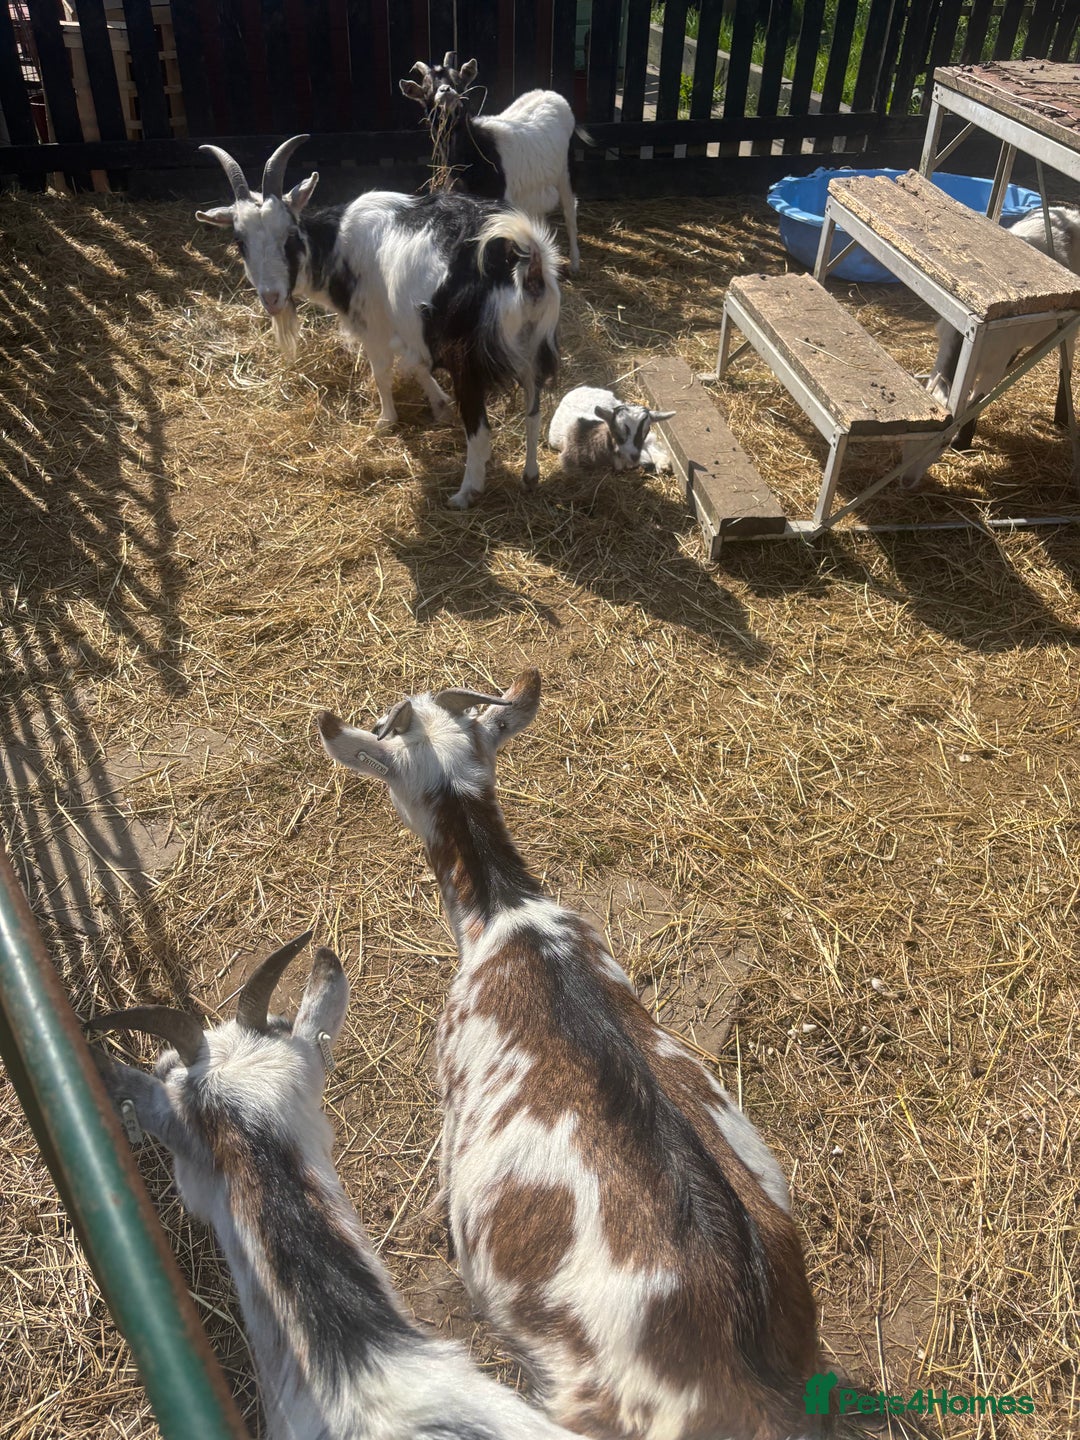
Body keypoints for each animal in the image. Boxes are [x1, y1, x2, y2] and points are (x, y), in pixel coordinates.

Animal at [197, 136, 562, 508]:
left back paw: (465, 493)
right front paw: (439, 405)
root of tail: (525, 264)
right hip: (535, 346)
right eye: (240, 241)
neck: (338, 243)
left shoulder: (374, 325)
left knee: (481, 430)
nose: (271, 297)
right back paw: (530, 476)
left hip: (469, 361)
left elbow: (381, 373)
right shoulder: (410, 328)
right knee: (533, 410)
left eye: (290, 235)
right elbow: (417, 366)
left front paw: (386, 421)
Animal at [400, 54, 584, 274]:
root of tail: (553, 95)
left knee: (570, 212)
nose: (446, 91)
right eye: (427, 87)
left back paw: (574, 263)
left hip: (566, 172)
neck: (475, 152)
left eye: (458, 81)